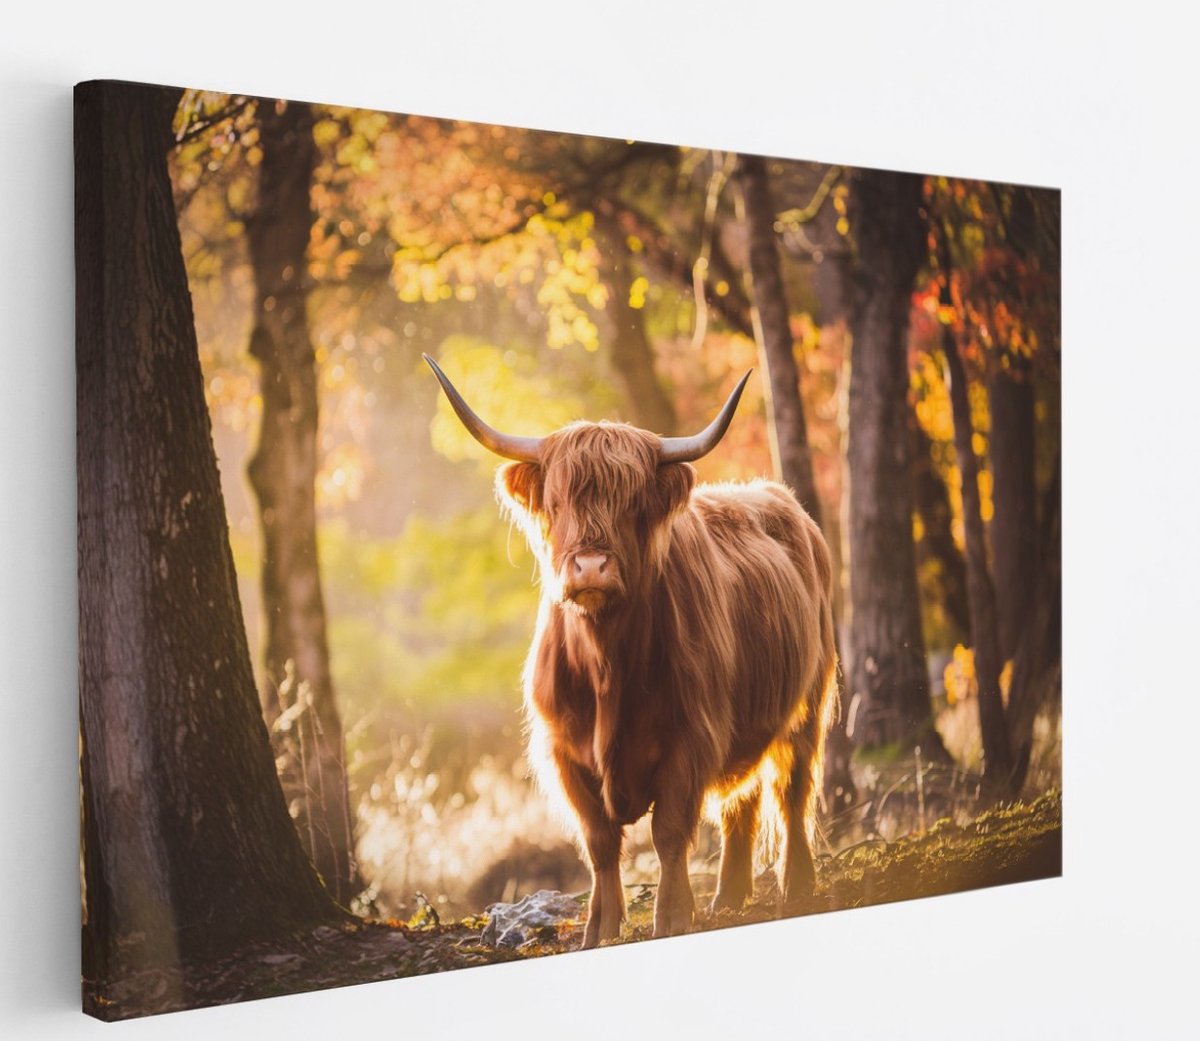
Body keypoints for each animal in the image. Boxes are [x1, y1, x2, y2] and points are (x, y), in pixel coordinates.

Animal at [424, 354, 837, 948]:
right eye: (556, 502)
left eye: (632, 504)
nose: (591, 567)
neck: (605, 667)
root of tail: (778, 500)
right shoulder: (565, 753)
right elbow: (599, 841)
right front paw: (599, 927)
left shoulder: (690, 738)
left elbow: (668, 833)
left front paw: (672, 917)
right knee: (741, 802)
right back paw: (729, 896)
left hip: (807, 704)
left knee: (791, 789)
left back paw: (797, 886)